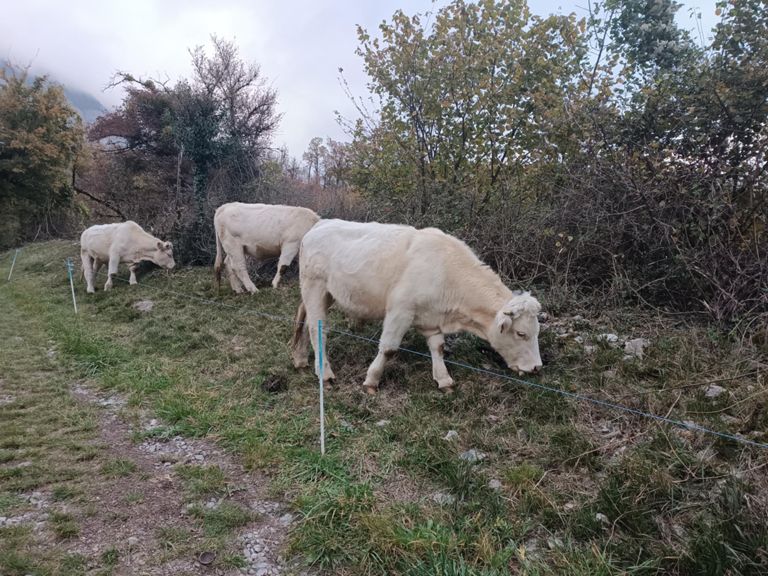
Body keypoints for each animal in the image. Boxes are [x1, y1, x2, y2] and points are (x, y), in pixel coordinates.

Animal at [290, 218, 544, 394]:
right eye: (521, 333)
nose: (536, 367)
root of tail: (320, 224)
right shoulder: (400, 311)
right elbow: (389, 348)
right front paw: (372, 381)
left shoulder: (431, 318)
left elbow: (438, 347)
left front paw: (444, 380)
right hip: (315, 287)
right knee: (317, 329)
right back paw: (325, 374)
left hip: (324, 293)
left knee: (304, 320)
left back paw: (300, 360)